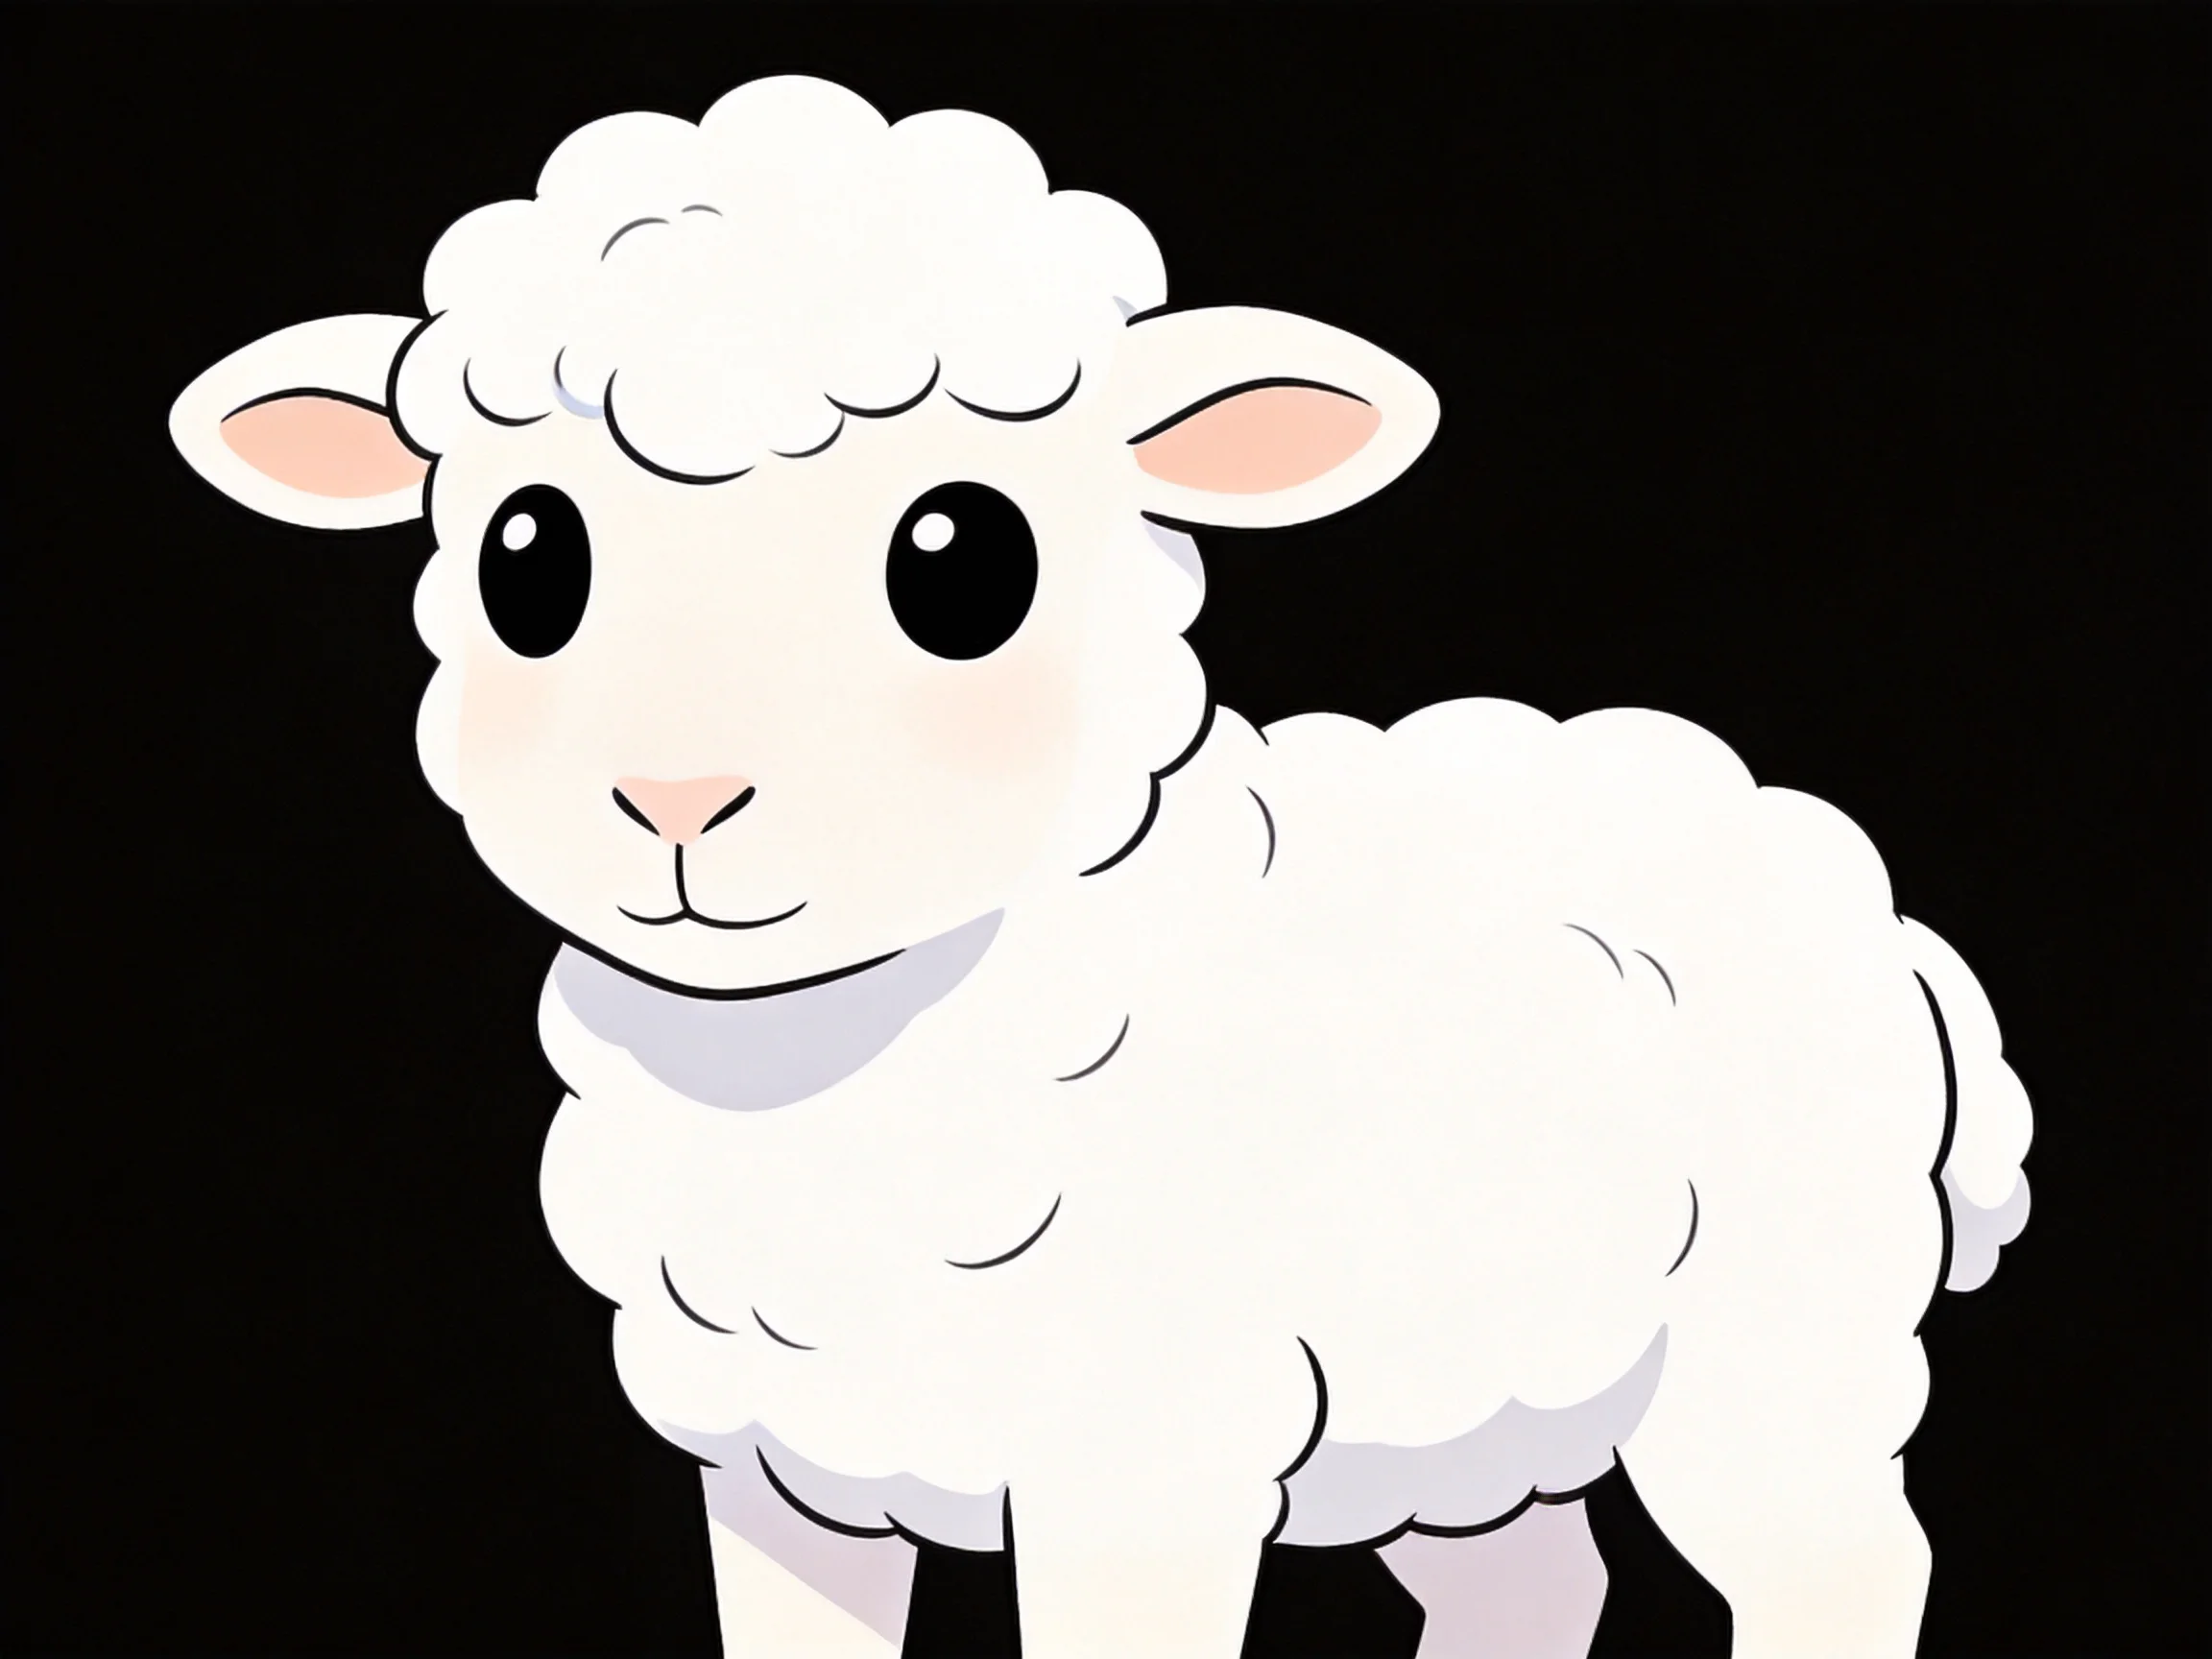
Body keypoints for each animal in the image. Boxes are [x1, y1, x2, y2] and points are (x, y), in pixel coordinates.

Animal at [169, 72, 2033, 1659]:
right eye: (525, 557)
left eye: (961, 559)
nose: (676, 797)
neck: (819, 1077)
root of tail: (1865, 895)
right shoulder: (776, 1464)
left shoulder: (1141, 1450)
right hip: (1466, 1382)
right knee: (1535, 1578)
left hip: (1777, 1331)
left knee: (1838, 1562)